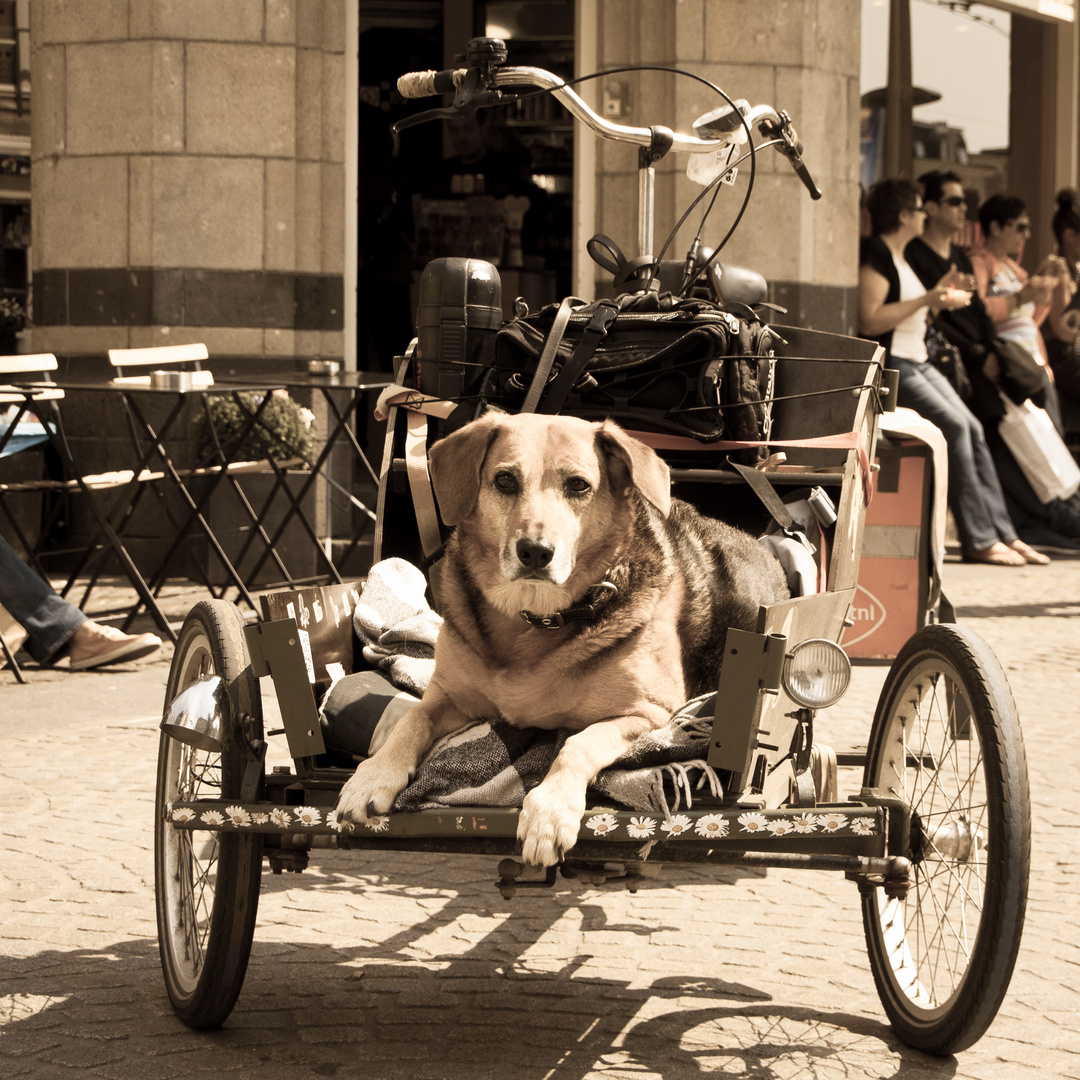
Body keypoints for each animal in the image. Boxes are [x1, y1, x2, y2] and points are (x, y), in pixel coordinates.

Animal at [336, 408, 794, 864]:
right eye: (505, 480)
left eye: (578, 485)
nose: (535, 551)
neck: (535, 615)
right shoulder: (445, 696)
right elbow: (411, 720)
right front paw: (373, 776)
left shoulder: (652, 713)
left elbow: (577, 742)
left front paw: (550, 810)